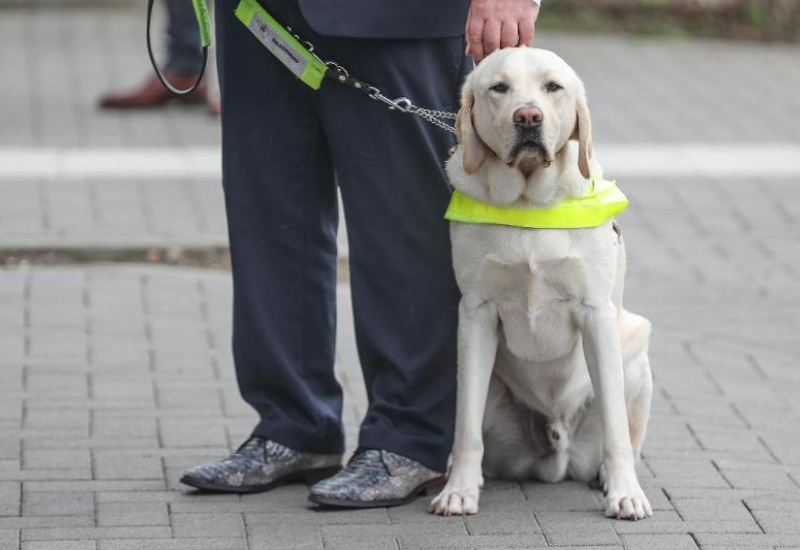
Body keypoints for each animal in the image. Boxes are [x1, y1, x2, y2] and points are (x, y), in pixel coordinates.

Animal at [428, 47, 652, 520]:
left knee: (625, 428)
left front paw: (626, 493)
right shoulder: (476, 312)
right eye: (499, 88)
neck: (528, 203)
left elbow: (616, 428)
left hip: (636, 357)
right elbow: (464, 422)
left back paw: (608, 477)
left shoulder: (596, 313)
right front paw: (459, 491)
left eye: (553, 87)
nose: (528, 117)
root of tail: (557, 447)